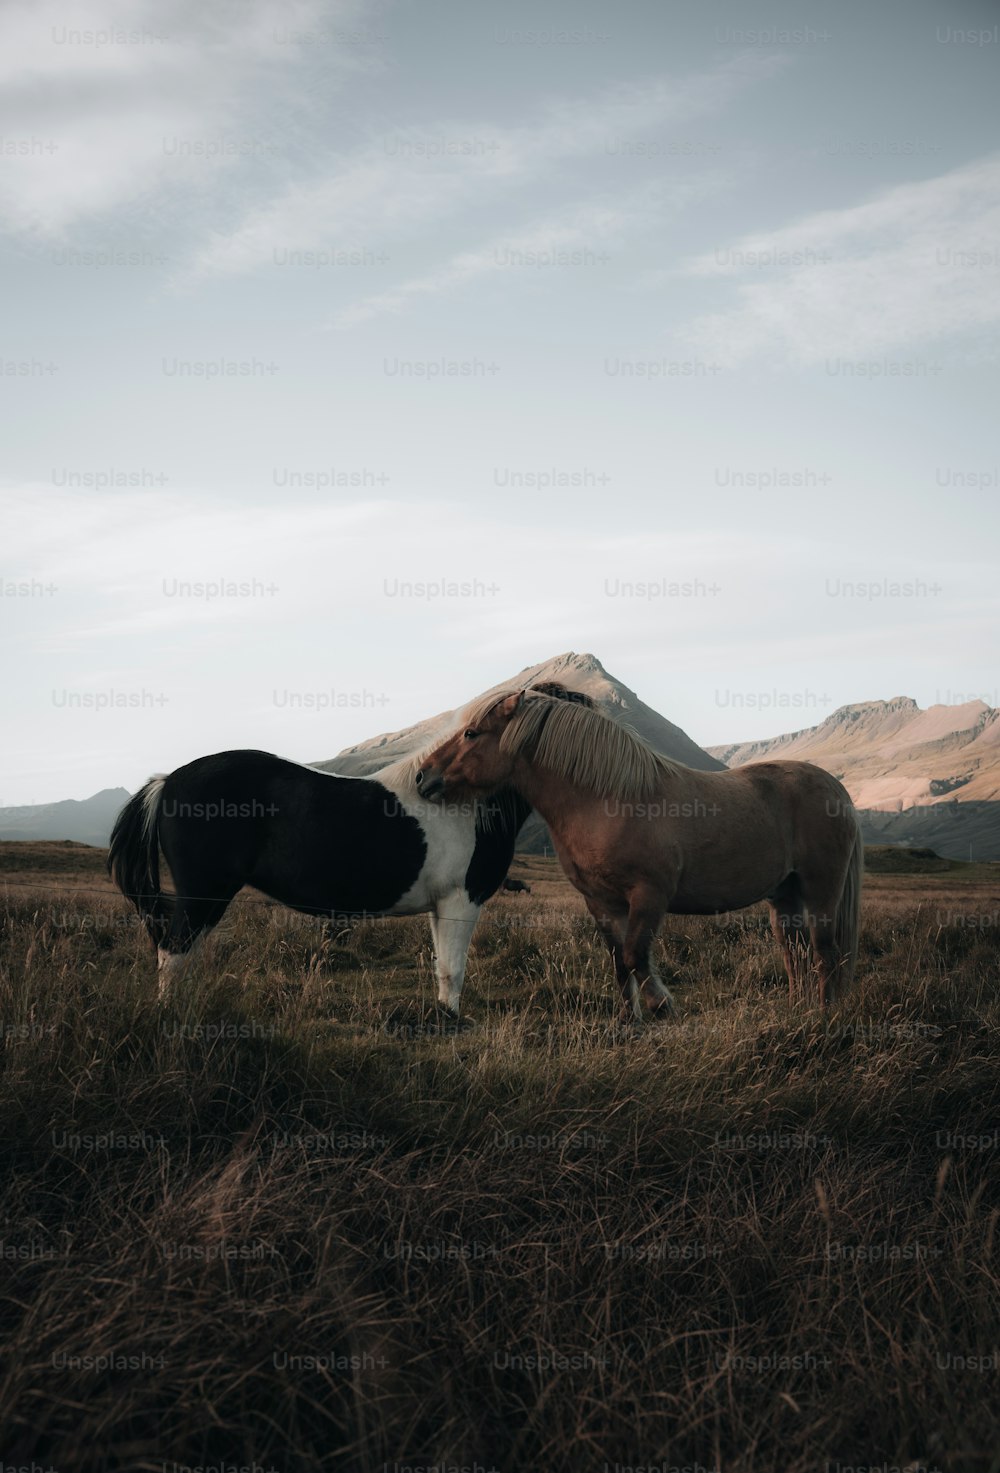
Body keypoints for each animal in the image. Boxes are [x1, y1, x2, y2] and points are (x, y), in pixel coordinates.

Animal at [105, 680, 592, 1007]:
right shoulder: (461, 899)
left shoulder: (441, 904)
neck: (468, 802)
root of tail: (166, 781)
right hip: (204, 894)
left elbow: (442, 970)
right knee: (174, 955)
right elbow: (454, 972)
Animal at [418, 689, 865, 1025]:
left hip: (820, 891)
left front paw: (661, 1004)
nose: (423, 776)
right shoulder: (601, 902)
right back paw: (797, 1010)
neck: (605, 801)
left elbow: (636, 956)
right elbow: (619, 962)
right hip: (783, 895)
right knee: (795, 954)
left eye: (472, 733)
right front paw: (628, 1020)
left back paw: (823, 1015)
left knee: (824, 952)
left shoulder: (649, 896)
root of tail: (837, 791)